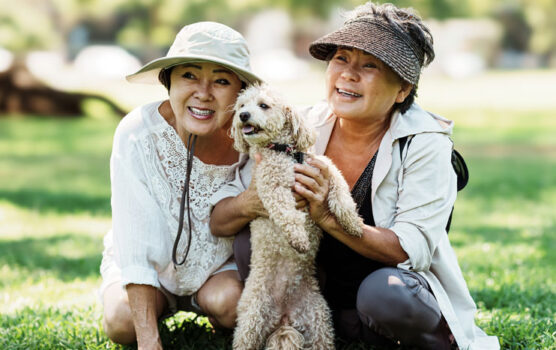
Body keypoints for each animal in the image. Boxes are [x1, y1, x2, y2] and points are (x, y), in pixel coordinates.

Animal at [229, 85, 362, 350]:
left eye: (263, 105)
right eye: (241, 106)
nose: (243, 116)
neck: (286, 154)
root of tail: (284, 318)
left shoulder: (326, 168)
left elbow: (341, 193)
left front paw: (353, 224)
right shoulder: (271, 187)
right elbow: (287, 214)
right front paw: (299, 239)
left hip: (319, 321)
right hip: (251, 319)